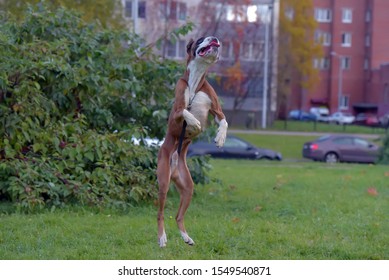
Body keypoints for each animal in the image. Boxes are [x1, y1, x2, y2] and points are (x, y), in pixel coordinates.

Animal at [155, 36, 227, 247]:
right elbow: (185, 112)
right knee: (160, 214)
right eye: (202, 39)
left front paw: (220, 138)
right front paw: (194, 123)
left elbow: (224, 121)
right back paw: (162, 238)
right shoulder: (176, 112)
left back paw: (186, 237)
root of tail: (174, 165)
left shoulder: (217, 110)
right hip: (163, 183)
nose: (214, 38)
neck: (195, 81)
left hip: (188, 188)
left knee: (179, 216)